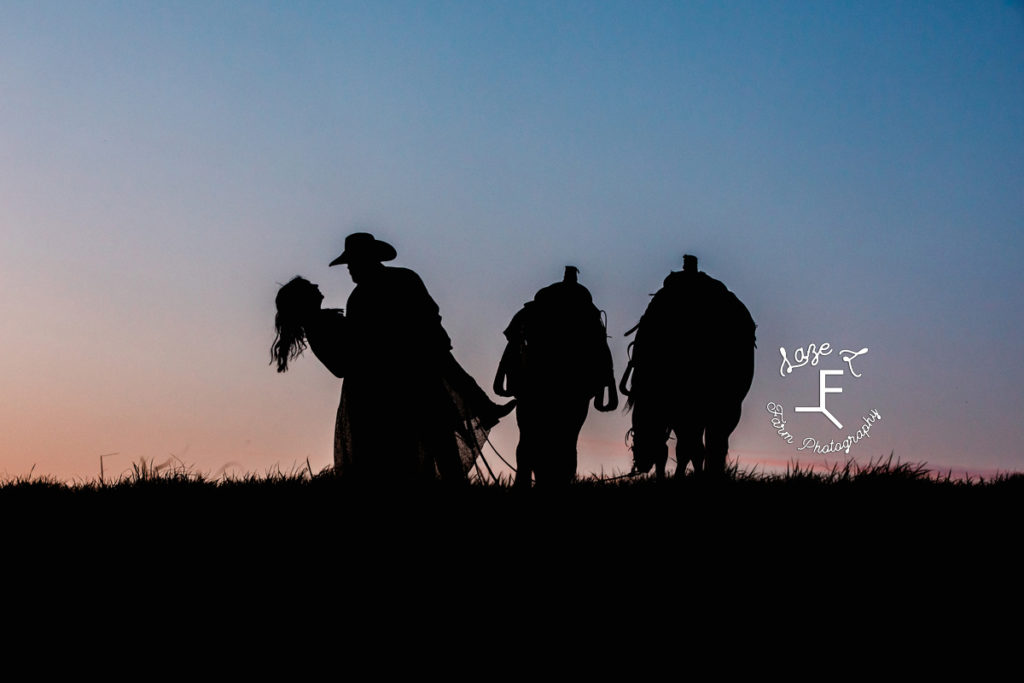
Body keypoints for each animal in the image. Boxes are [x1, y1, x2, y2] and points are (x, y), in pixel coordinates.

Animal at [614, 255, 753, 481]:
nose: (641, 463)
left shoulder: (683, 414)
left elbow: (685, 448)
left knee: (706, 445)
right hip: (727, 407)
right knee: (715, 445)